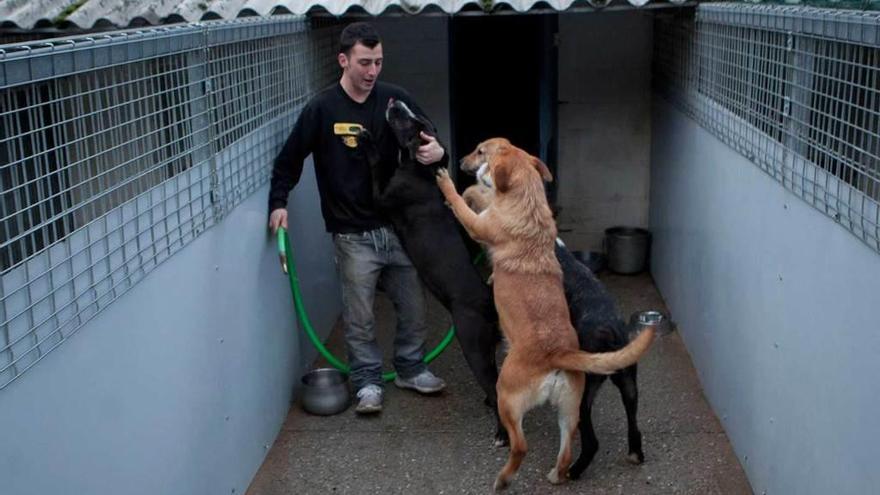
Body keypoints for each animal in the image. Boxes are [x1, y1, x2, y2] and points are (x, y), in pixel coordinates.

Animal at [358, 100, 506, 446]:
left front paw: (368, 143)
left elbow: (375, 165)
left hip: (472, 343)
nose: (395, 102)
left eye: (410, 122)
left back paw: (501, 435)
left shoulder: (382, 196)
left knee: (495, 389)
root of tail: (488, 301)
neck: (419, 169)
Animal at [434, 138, 652, 490]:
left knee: (525, 445)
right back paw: (568, 471)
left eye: (481, 151)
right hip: (595, 399)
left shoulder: (480, 224)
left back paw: (506, 478)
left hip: (511, 397)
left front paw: (452, 185)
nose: (464, 162)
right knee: (576, 444)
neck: (530, 205)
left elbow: (467, 202)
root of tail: (557, 354)